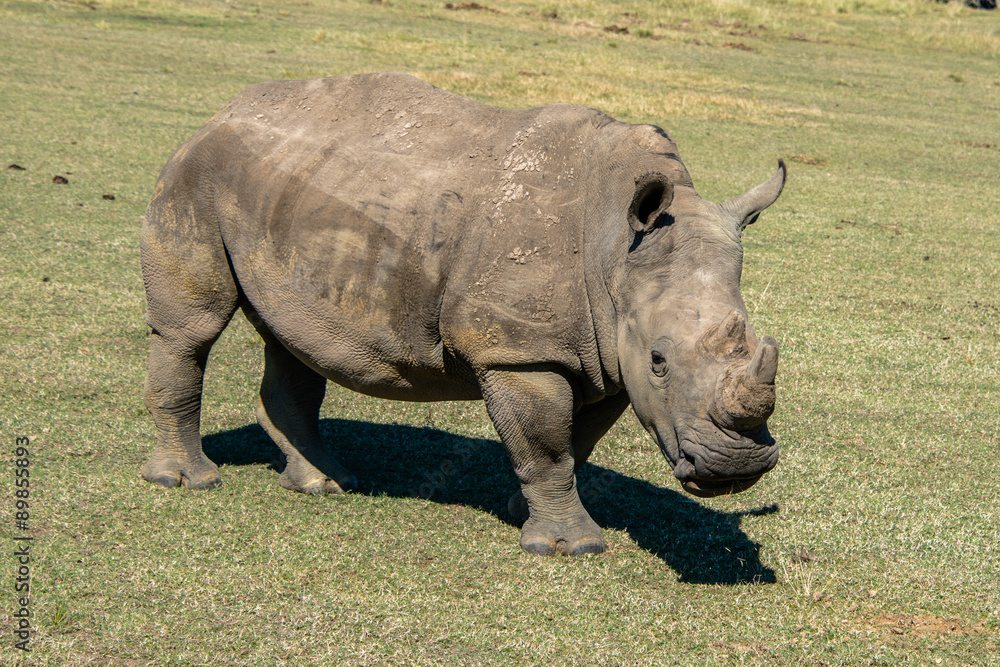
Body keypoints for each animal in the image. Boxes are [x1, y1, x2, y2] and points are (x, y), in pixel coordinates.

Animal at [141, 72, 785, 556]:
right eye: (659, 362)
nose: (736, 467)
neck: (615, 251)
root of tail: (221, 111)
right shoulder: (521, 351)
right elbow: (547, 444)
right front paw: (568, 547)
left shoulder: (603, 352)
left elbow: (576, 441)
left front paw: (522, 511)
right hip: (197, 174)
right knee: (191, 331)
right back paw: (188, 480)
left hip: (286, 193)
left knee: (294, 339)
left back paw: (325, 485)